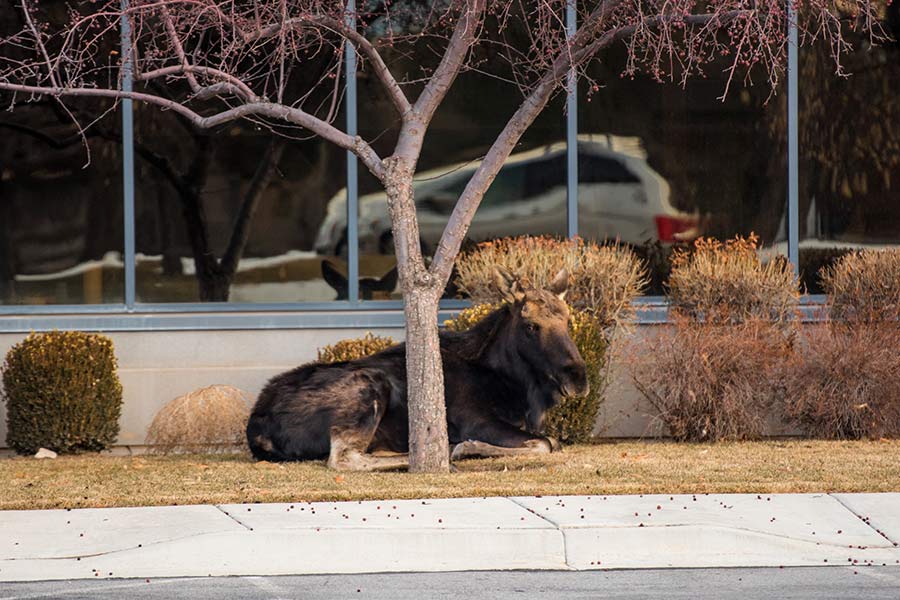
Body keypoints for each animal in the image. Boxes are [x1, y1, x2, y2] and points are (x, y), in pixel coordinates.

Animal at [244, 270, 592, 472]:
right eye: (531, 326)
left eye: (568, 321)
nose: (578, 378)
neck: (517, 387)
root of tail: (257, 426)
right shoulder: (477, 419)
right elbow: (547, 443)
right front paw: (468, 447)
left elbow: (549, 441)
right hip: (369, 386)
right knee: (343, 458)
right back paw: (439, 452)